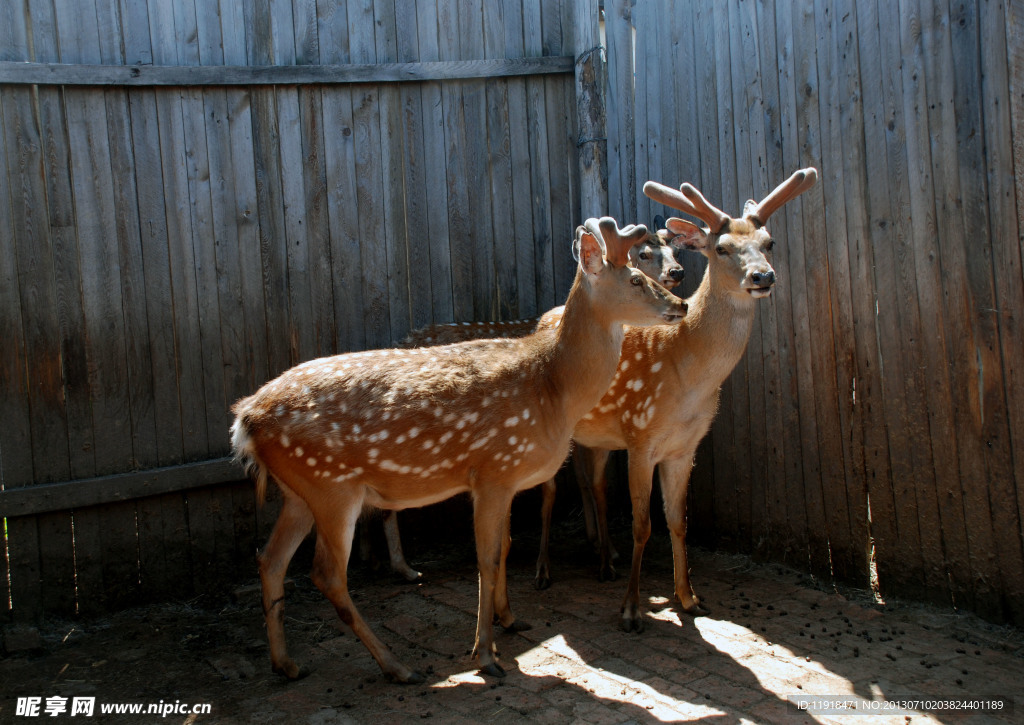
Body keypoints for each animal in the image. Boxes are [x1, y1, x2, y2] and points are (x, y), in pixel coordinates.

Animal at [228, 218, 684, 684]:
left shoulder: (507, 479)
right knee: (327, 574)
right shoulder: (493, 470)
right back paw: (397, 666)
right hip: (332, 487)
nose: (681, 302)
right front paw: (485, 654)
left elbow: (505, 546)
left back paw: (287, 664)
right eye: (636, 276)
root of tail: (244, 420)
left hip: (299, 492)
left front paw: (509, 619)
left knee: (271, 560)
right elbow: (487, 558)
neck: (553, 387)